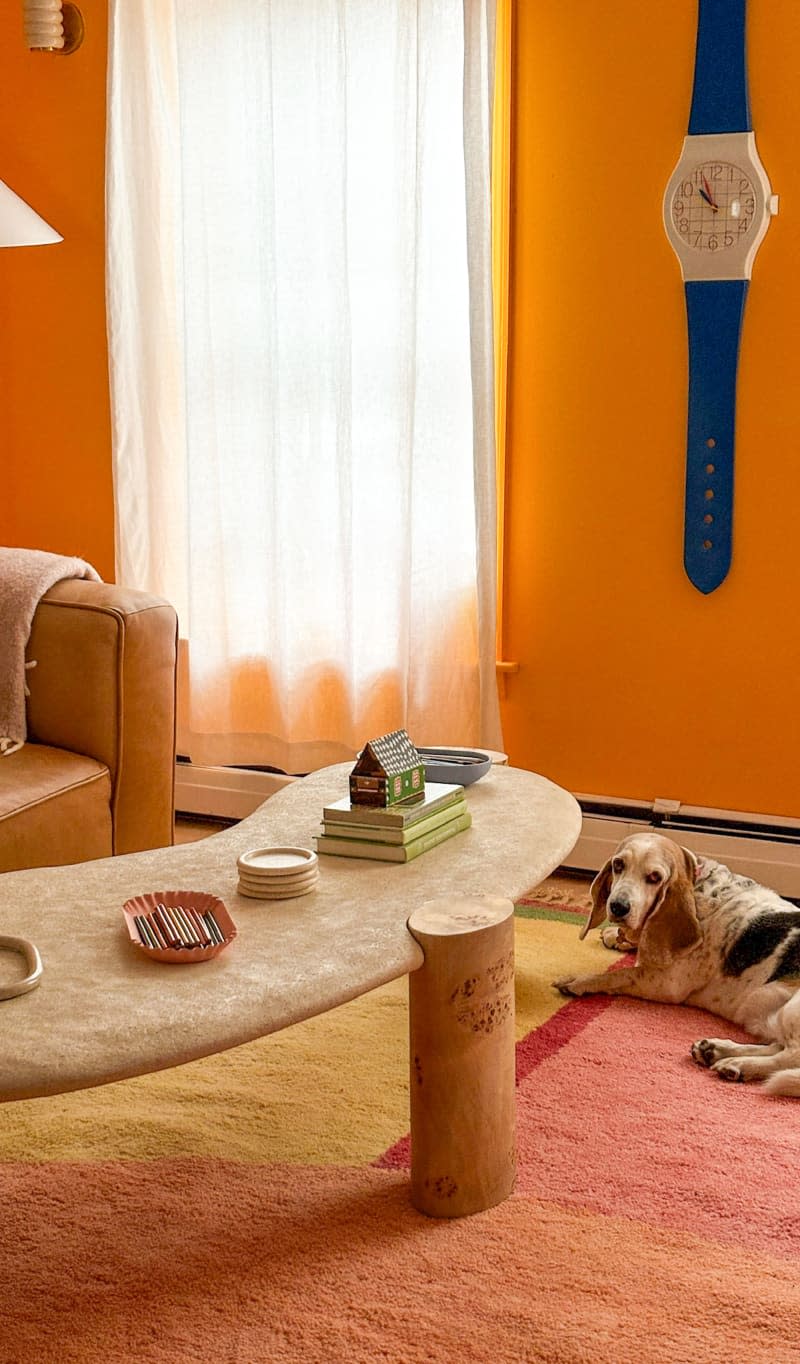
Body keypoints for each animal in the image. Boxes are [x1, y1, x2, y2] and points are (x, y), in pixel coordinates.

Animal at [553, 829, 800, 1096]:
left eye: (655, 877)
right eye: (618, 865)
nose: (618, 906)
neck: (697, 884)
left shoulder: (665, 984)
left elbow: (617, 974)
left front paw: (578, 980)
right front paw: (616, 937)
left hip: (791, 1011)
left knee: (789, 1056)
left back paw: (738, 1064)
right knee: (778, 1046)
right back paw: (715, 1051)